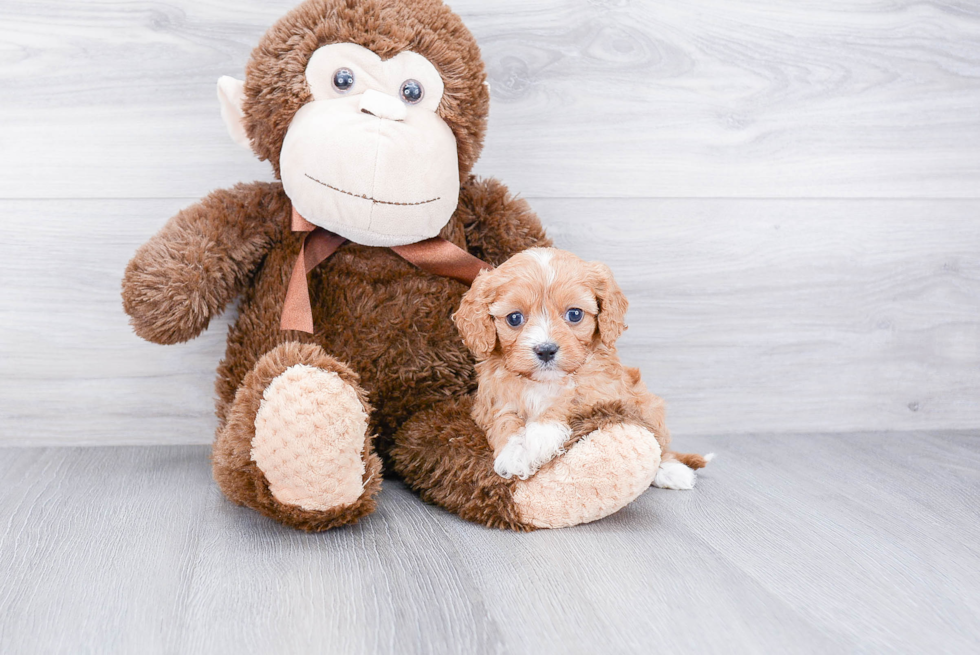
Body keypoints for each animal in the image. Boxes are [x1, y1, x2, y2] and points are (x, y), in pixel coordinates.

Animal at [452, 249, 712, 490]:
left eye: (574, 314)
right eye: (514, 318)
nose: (546, 350)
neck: (545, 382)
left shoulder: (602, 390)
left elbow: (567, 400)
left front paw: (539, 435)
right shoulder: (490, 401)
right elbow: (503, 419)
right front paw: (514, 452)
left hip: (647, 404)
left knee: (659, 444)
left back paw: (671, 471)